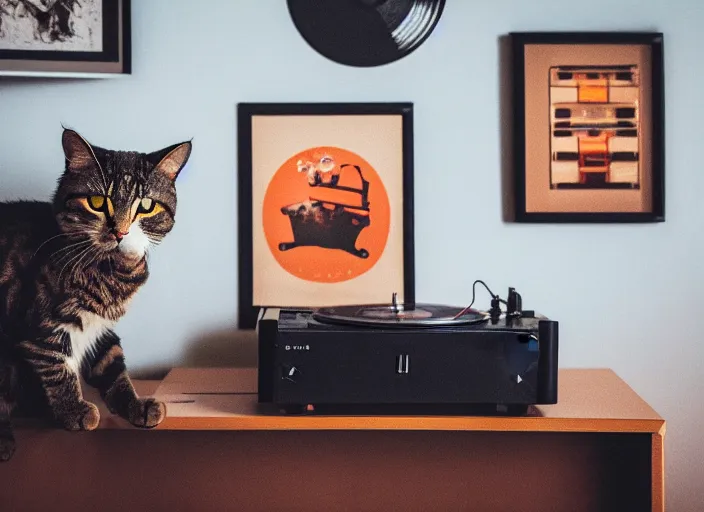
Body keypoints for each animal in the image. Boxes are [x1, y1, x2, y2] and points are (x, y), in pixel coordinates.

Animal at [0, 127, 192, 460]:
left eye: (146, 206)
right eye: (97, 201)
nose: (121, 231)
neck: (112, 272)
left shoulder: (99, 326)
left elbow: (112, 365)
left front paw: (135, 405)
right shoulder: (39, 326)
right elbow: (57, 368)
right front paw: (74, 411)